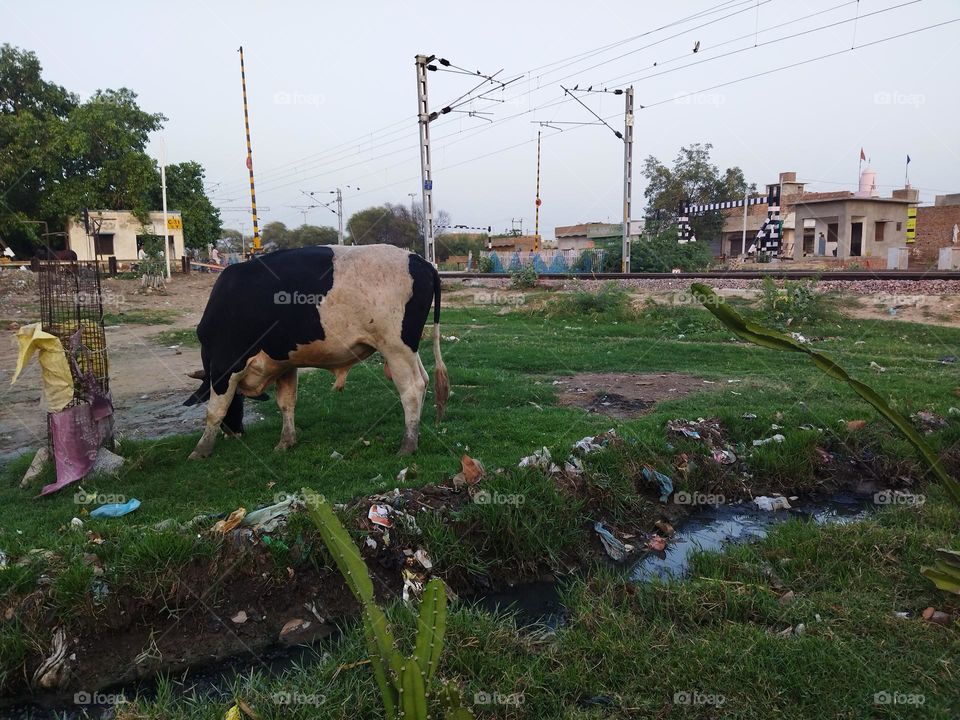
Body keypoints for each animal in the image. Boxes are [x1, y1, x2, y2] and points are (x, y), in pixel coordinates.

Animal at [183, 244, 448, 459]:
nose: (236, 432)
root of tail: (420, 261)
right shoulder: (284, 363)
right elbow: (286, 402)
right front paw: (286, 441)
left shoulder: (225, 365)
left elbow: (215, 410)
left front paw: (201, 449)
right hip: (407, 349)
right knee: (424, 380)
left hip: (395, 347)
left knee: (412, 389)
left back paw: (408, 444)